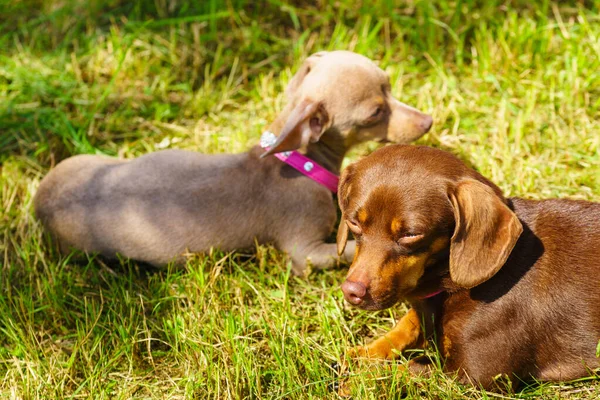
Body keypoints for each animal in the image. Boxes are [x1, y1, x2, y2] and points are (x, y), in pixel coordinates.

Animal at [35, 50, 434, 276]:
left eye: (389, 84)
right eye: (375, 113)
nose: (428, 121)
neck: (298, 160)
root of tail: (39, 206)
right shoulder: (305, 253)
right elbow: (347, 251)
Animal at [338, 145, 600, 390]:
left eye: (411, 234)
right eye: (353, 222)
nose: (351, 292)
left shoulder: (473, 375)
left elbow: (405, 370)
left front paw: (360, 380)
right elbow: (406, 325)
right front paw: (361, 355)